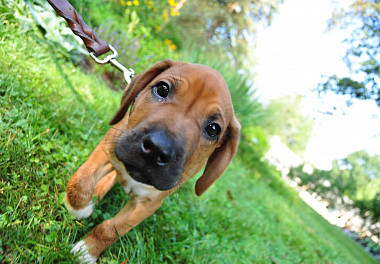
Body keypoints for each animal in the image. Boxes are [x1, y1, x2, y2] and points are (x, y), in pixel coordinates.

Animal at [67, 60, 240, 262]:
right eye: (162, 88)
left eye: (213, 129)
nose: (157, 148)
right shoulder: (106, 149)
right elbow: (81, 180)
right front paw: (80, 208)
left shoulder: (148, 204)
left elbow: (112, 229)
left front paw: (87, 251)